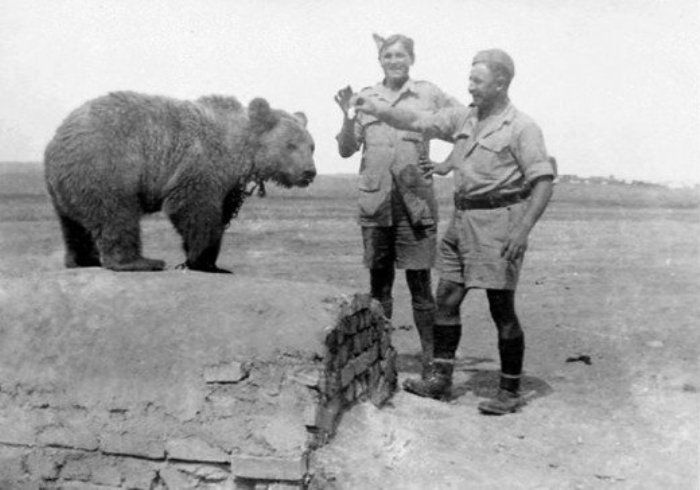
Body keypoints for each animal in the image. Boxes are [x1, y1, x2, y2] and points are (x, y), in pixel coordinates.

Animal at [44, 91, 316, 273]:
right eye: (290, 145)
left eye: (311, 146)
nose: (309, 172)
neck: (239, 149)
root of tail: (55, 142)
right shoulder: (201, 162)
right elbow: (194, 208)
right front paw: (203, 261)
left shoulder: (228, 184)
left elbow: (219, 212)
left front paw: (204, 260)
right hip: (107, 166)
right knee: (117, 215)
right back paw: (140, 262)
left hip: (68, 186)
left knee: (73, 225)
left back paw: (82, 260)